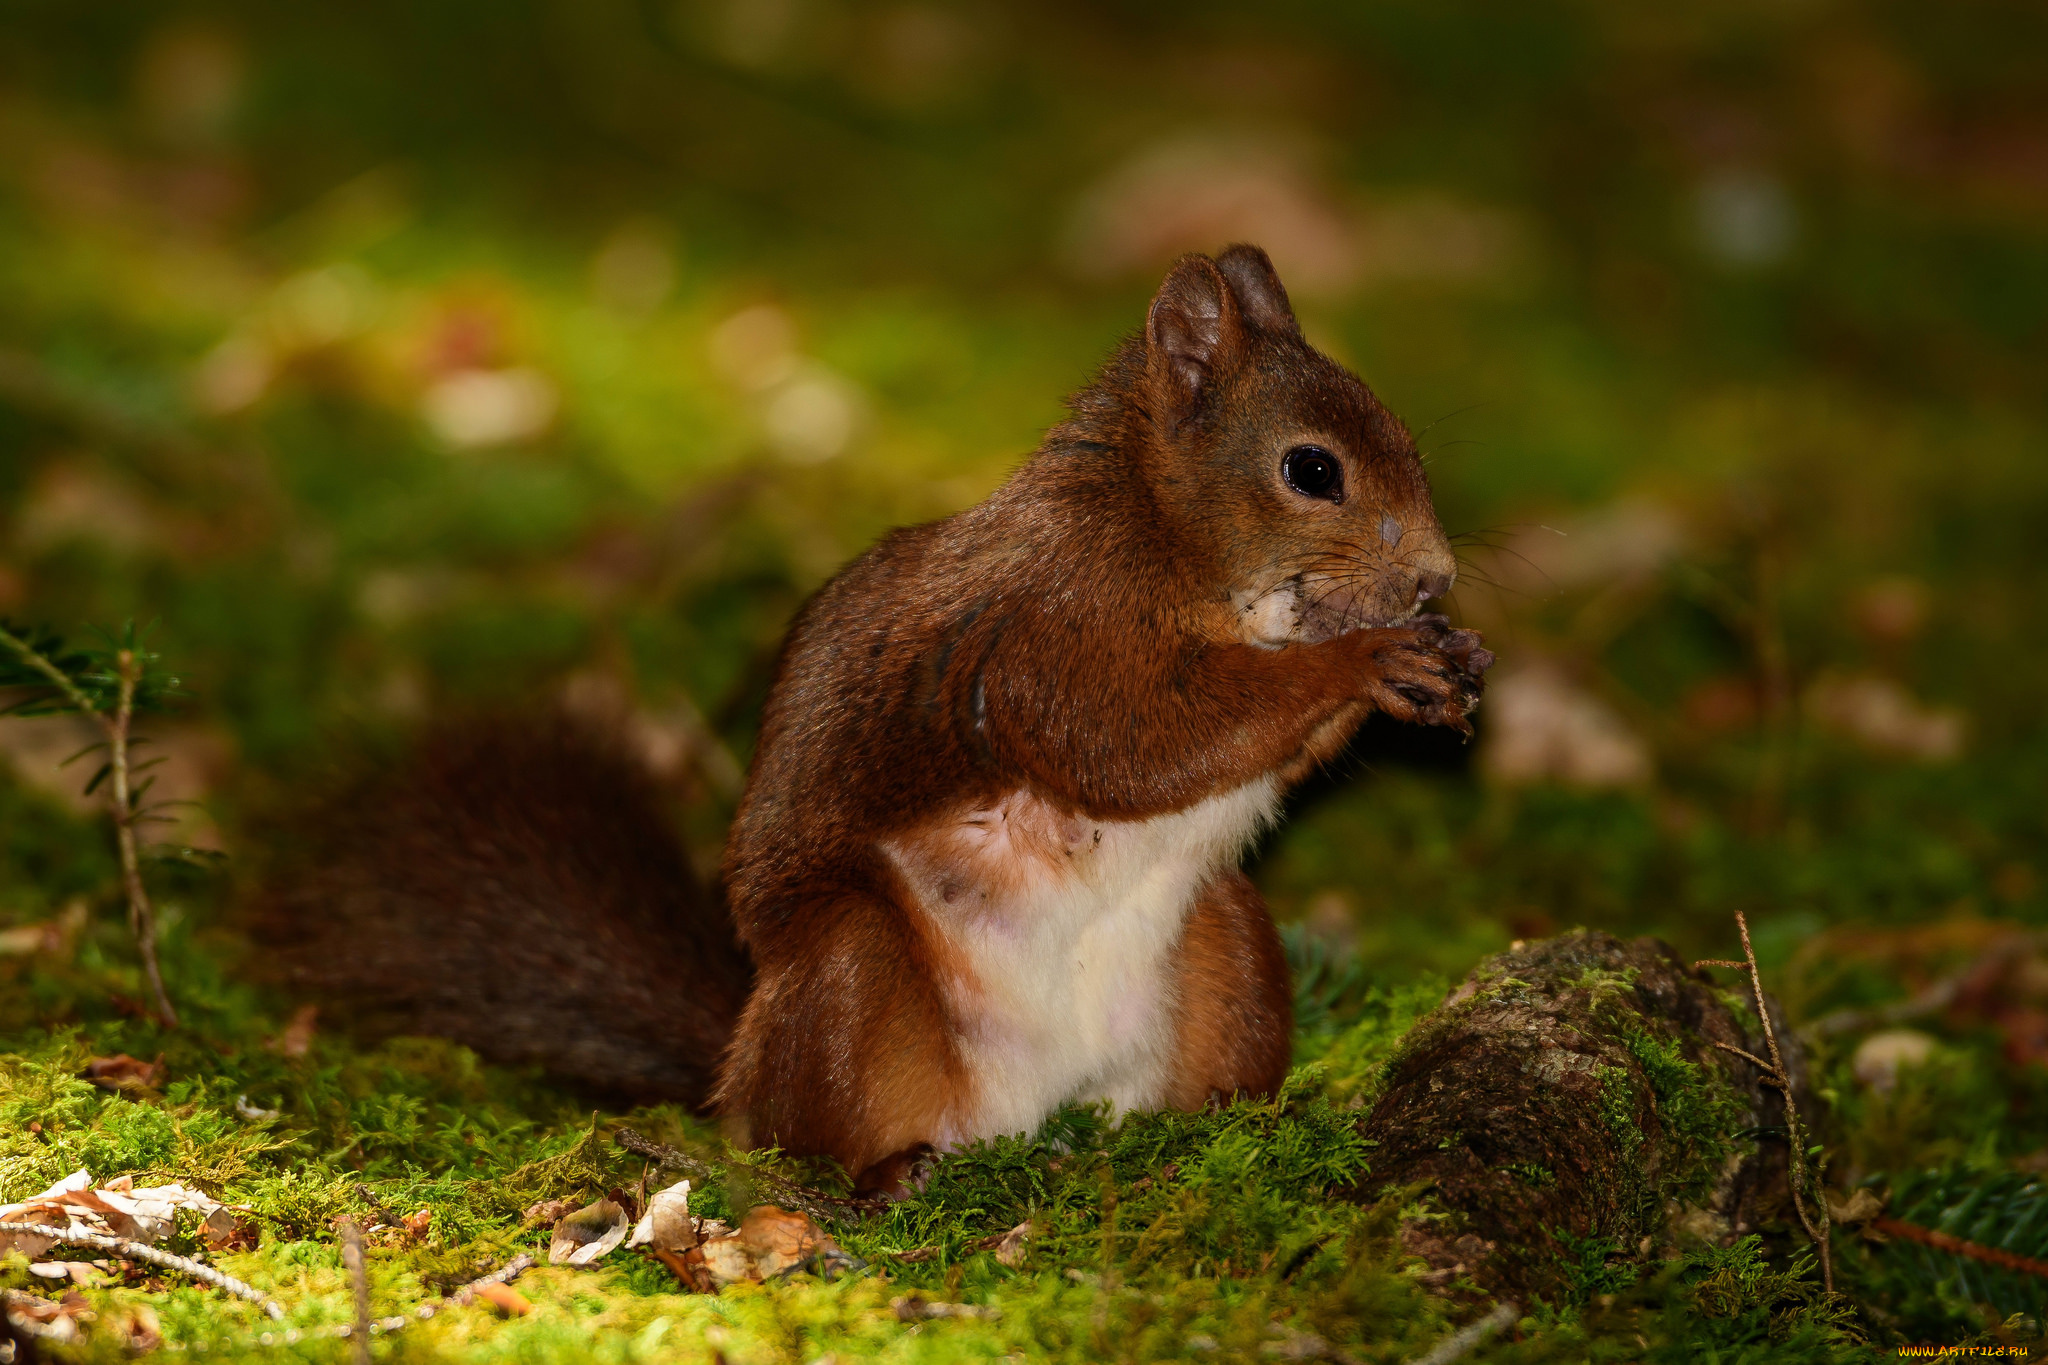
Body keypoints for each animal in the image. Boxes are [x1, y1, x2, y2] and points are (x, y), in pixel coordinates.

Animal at [264, 245, 1499, 1195]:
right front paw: (1364, 657)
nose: (1434, 581)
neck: (1161, 527)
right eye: (1311, 470)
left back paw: (1226, 1131)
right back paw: (878, 1172)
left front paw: (1445, 663)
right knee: (799, 1132)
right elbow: (1128, 741)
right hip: (853, 981)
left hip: (1224, 941)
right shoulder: (1056, 627)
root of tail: (1030, 1111)